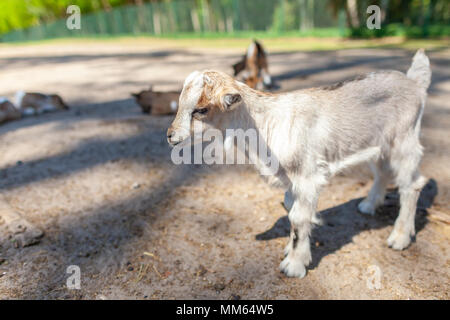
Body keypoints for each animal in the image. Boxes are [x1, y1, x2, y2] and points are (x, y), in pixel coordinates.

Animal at [168, 50, 432, 278]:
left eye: (201, 109)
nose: (171, 136)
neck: (266, 124)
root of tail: (413, 82)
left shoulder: (307, 177)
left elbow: (297, 217)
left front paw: (293, 265)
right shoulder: (290, 179)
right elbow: (289, 208)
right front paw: (293, 251)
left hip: (404, 140)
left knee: (411, 185)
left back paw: (399, 237)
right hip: (378, 145)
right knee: (382, 172)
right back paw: (369, 205)